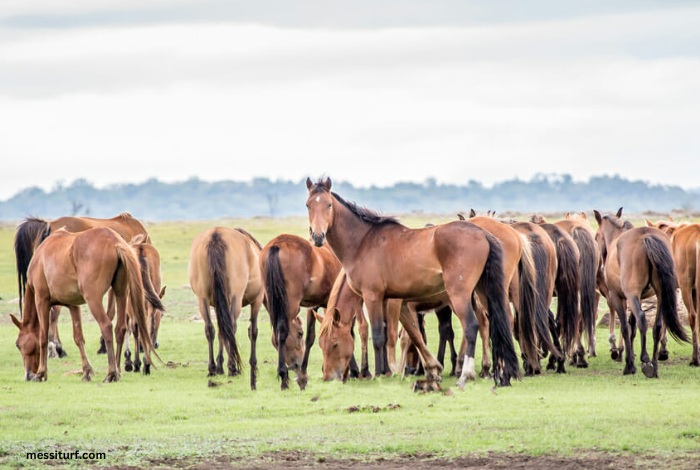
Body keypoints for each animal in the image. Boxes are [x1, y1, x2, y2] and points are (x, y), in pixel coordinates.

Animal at [10, 227, 161, 382]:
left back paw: (111, 373)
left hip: (93, 298)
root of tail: (115, 241)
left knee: (106, 326)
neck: (40, 258)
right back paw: (118, 370)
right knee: (121, 328)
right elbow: (78, 338)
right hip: (121, 293)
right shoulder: (73, 305)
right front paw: (86, 371)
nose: (28, 375)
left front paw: (41, 373)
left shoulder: (41, 299)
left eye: (18, 345)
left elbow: (43, 337)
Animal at [187, 228, 264, 390]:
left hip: (202, 298)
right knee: (232, 327)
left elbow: (220, 332)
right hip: (236, 298)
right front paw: (252, 364)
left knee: (210, 329)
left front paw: (219, 365)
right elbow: (252, 331)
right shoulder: (257, 299)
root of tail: (216, 235)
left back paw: (212, 368)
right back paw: (233, 367)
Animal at [258, 233, 344, 392]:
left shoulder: (313, 306)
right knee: (282, 331)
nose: (295, 365)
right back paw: (283, 377)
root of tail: (276, 244)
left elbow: (311, 337)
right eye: (299, 333)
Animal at [306, 178, 520, 388]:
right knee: (499, 323)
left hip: (459, 295)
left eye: (329, 204)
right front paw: (431, 369)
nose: (317, 237)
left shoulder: (373, 297)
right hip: (483, 292)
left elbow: (380, 336)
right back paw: (504, 373)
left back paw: (466, 375)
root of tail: (484, 233)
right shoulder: (396, 301)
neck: (363, 242)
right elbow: (413, 334)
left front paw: (381, 374)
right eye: (308, 205)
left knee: (472, 326)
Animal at [592, 209, 688, 378]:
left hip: (632, 295)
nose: (602, 266)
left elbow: (625, 328)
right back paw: (654, 365)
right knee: (657, 325)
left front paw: (629, 364)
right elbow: (632, 328)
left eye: (597, 237)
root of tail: (646, 236)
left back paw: (646, 361)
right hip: (661, 294)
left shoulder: (619, 297)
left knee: (642, 319)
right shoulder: (640, 298)